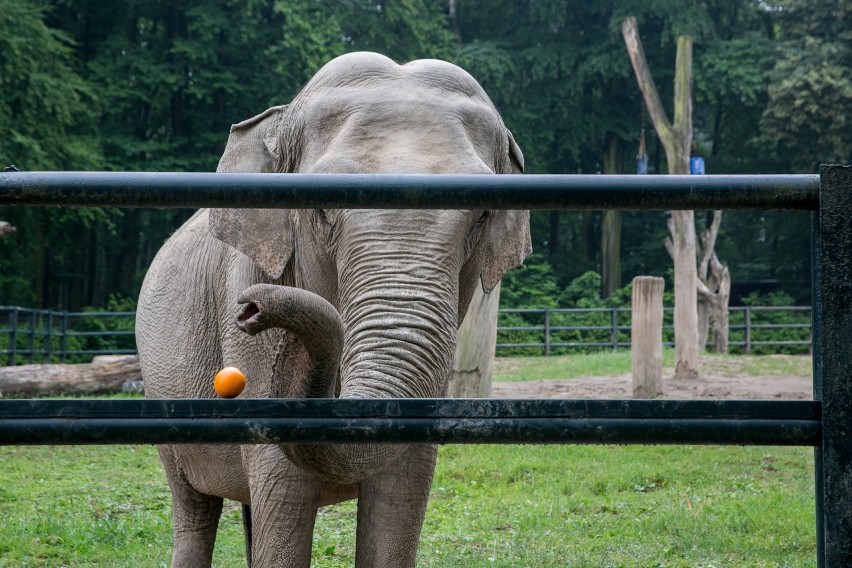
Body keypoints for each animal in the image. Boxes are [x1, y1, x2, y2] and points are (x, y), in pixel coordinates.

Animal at [136, 51, 528, 564]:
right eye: (321, 209)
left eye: (482, 215)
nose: (251, 309)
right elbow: (283, 483)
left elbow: (402, 484)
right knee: (195, 507)